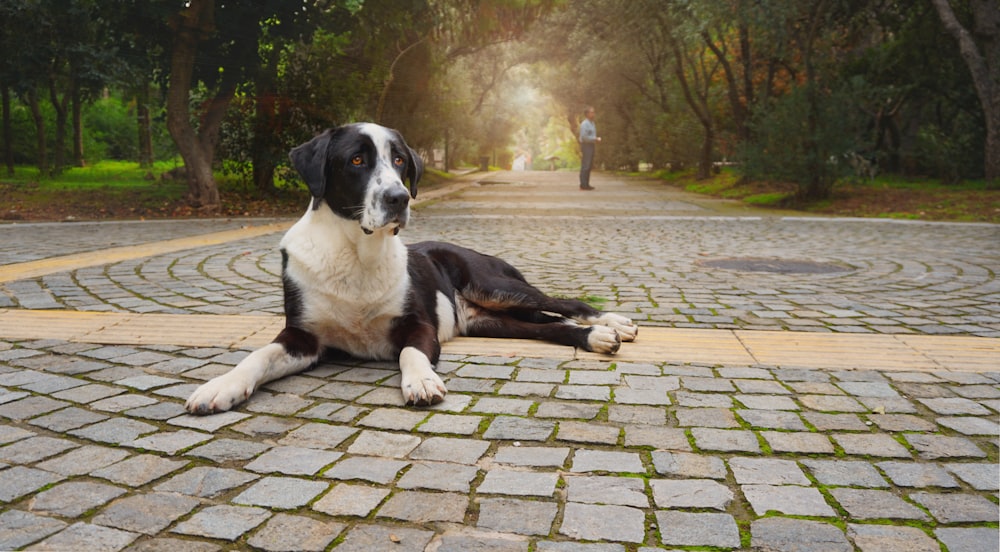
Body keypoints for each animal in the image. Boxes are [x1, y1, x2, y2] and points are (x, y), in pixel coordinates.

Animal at [187, 122, 636, 414]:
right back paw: (595, 337)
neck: (357, 252)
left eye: (400, 160)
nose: (399, 198)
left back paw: (613, 323)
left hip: (492, 284)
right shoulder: (303, 337)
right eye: (356, 160)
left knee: (565, 302)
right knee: (549, 326)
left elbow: (409, 352)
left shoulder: (418, 325)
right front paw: (221, 386)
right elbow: (258, 356)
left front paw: (420, 380)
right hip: (493, 319)